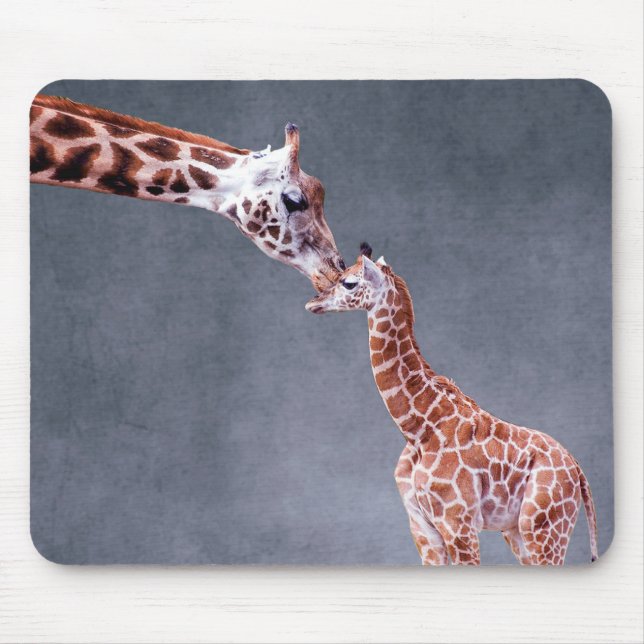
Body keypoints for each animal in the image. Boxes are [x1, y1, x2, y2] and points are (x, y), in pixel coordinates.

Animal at [305, 245, 598, 565]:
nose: (313, 303)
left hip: (543, 528)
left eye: (349, 282)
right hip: (517, 532)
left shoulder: (458, 523)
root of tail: (578, 471)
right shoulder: (422, 528)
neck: (418, 429)